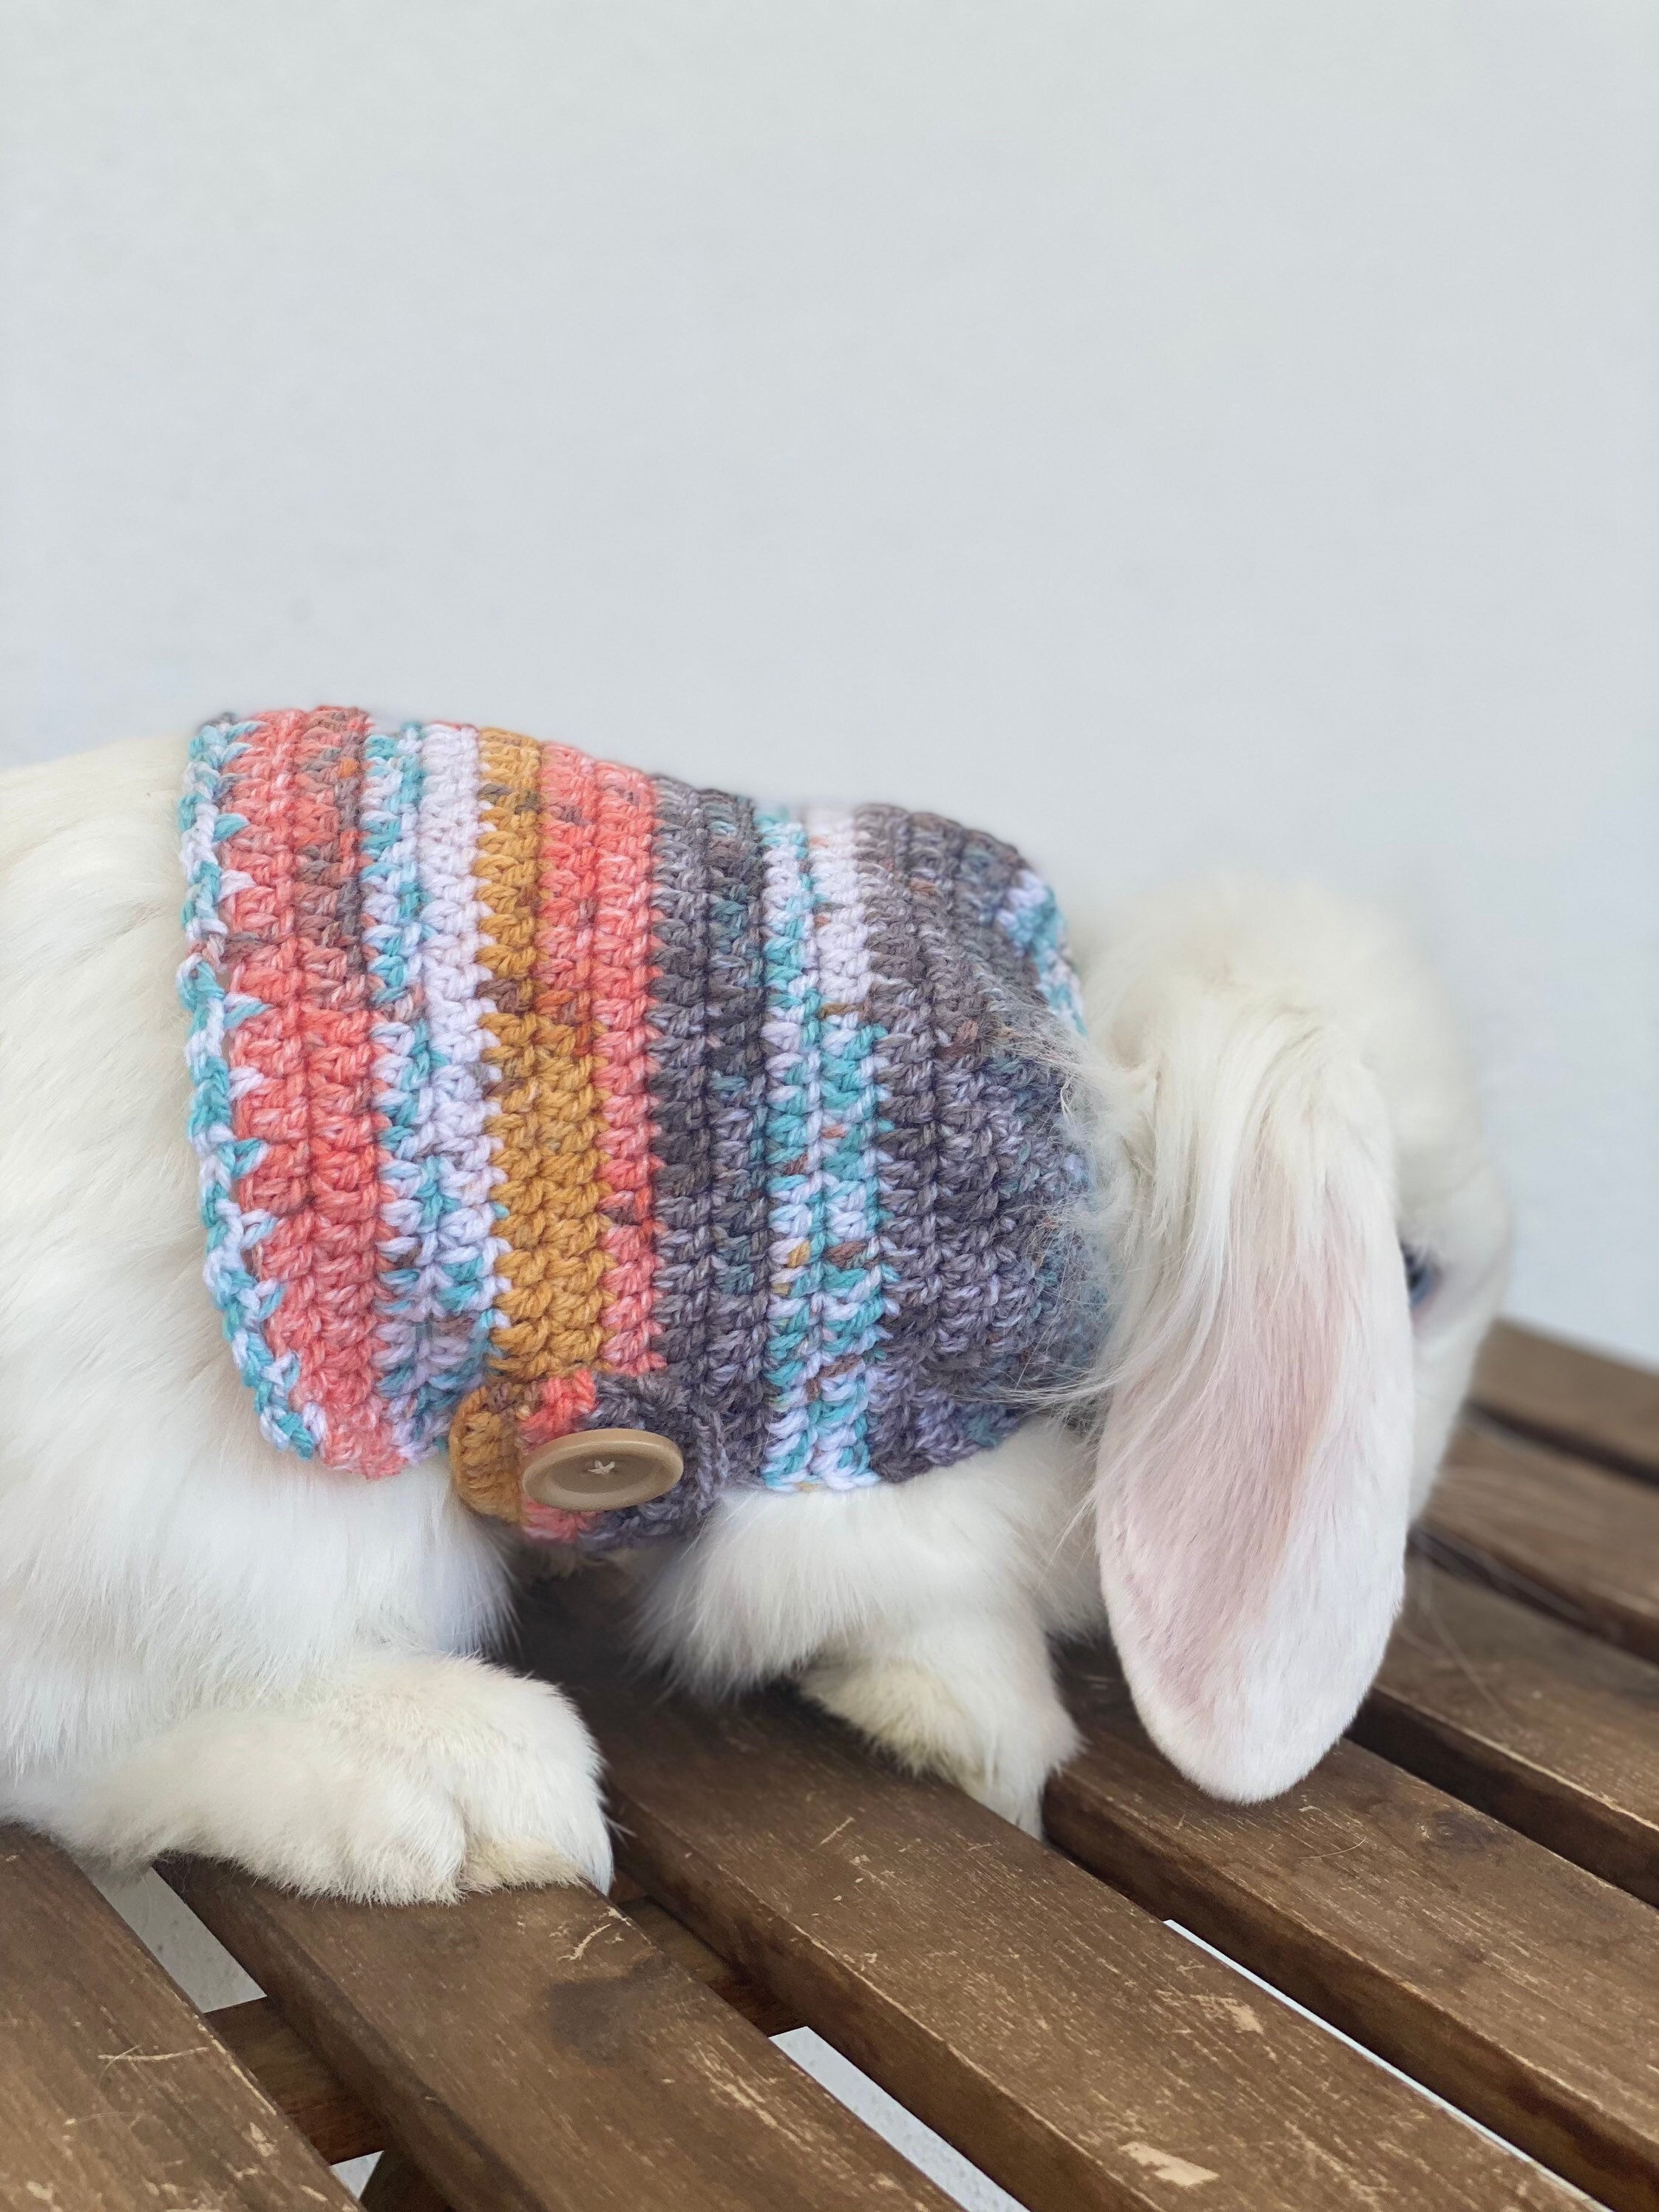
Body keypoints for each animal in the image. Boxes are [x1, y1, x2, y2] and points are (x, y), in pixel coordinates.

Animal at [0, 732, 1510, 1900]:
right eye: (1411, 1277)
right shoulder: (858, 1469)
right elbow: (931, 1616)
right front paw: (984, 1739)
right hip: (238, 1532)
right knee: (88, 1744)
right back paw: (469, 1788)